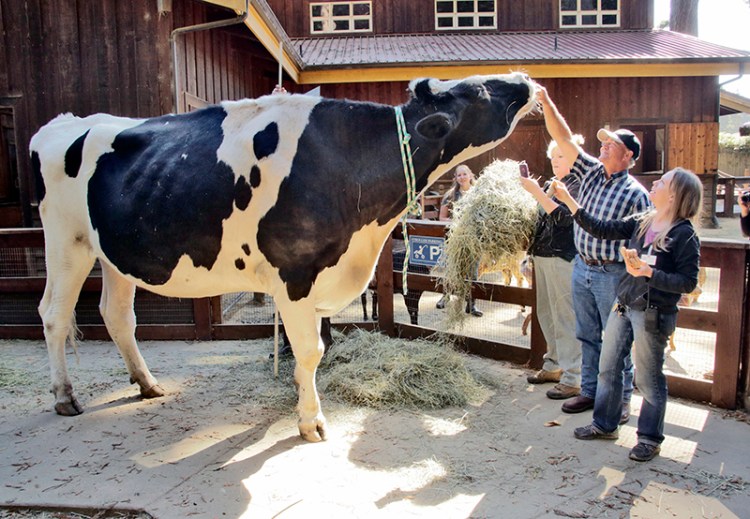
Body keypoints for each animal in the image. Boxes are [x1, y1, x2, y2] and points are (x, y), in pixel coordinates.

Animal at [27, 71, 536, 440]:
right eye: (479, 91)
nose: (525, 78)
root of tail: (64, 123)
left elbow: (318, 345)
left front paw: (299, 398)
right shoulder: (295, 273)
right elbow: (311, 350)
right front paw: (311, 421)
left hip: (113, 250)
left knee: (116, 314)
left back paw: (148, 384)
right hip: (66, 239)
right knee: (53, 313)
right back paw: (64, 397)